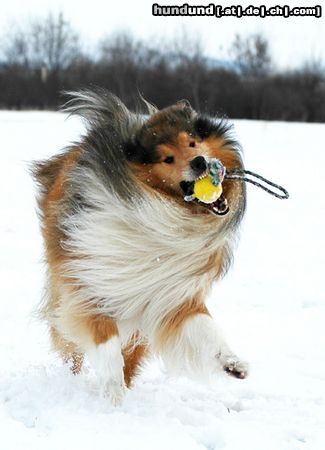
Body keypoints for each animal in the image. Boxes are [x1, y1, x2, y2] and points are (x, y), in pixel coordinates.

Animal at [33, 89, 247, 406]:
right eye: (167, 158)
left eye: (192, 142)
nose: (198, 162)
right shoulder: (89, 283)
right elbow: (105, 341)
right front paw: (112, 389)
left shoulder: (171, 295)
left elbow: (204, 327)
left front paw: (231, 362)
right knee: (72, 350)